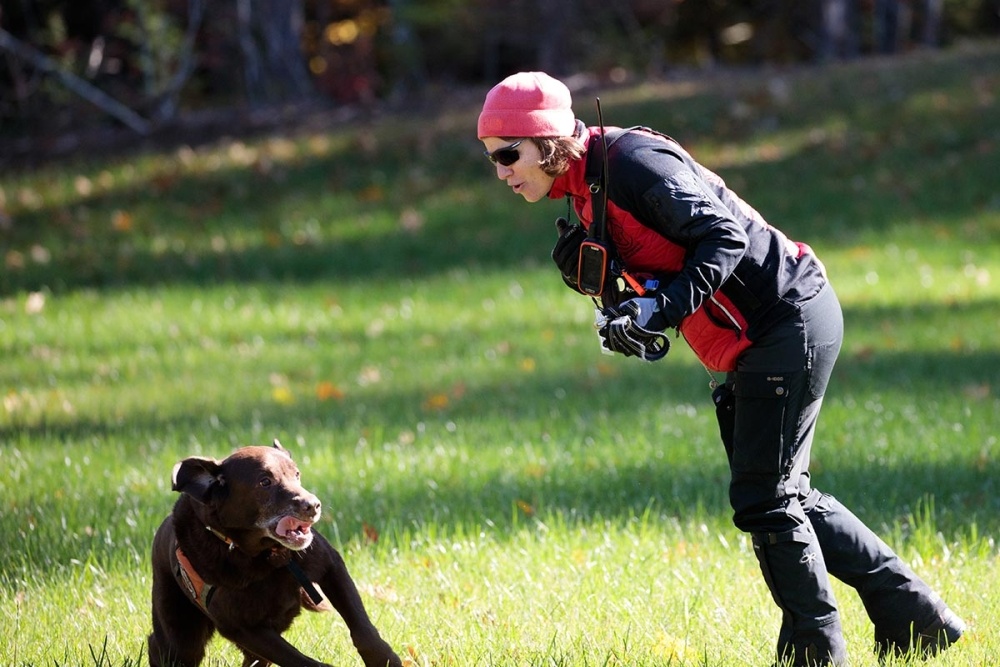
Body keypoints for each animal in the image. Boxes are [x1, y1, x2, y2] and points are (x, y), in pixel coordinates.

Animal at [150, 440, 400, 664]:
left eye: (297, 474)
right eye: (265, 481)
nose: (313, 505)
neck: (268, 556)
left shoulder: (331, 567)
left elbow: (363, 629)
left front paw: (386, 660)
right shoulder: (243, 628)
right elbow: (301, 661)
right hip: (181, 636)